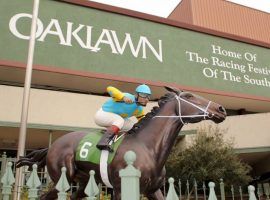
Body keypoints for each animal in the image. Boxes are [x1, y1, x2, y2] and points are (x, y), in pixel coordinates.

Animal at [16, 87, 226, 200]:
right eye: (189, 96)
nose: (221, 109)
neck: (148, 147)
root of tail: (53, 145)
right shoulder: (120, 188)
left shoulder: (153, 189)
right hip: (63, 177)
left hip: (83, 183)